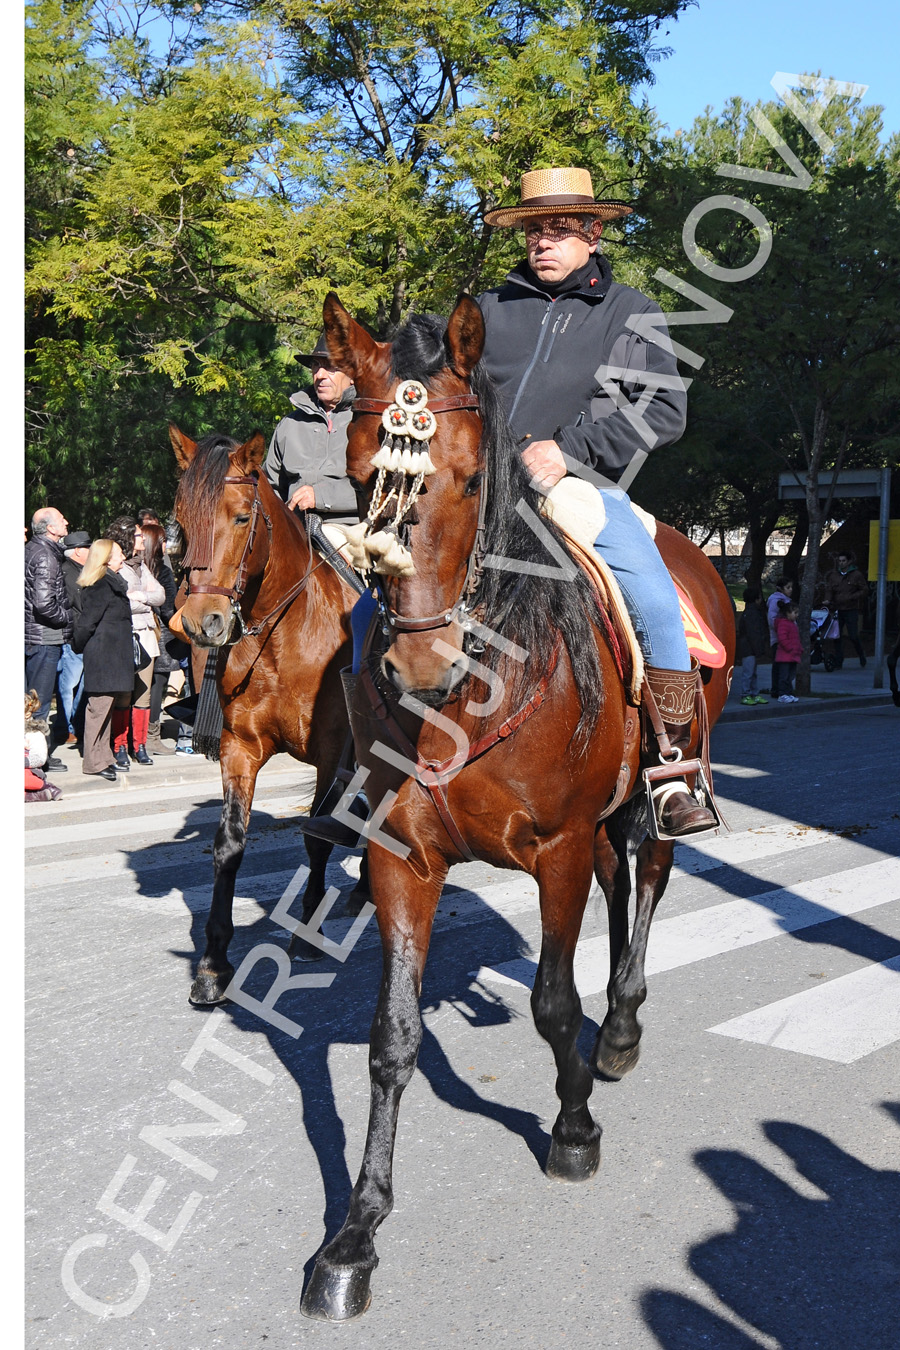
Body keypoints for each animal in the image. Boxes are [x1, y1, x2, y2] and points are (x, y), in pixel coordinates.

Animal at [168, 426, 367, 1009]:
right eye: (181, 517)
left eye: (240, 517)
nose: (202, 623)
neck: (281, 636)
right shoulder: (239, 748)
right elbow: (229, 843)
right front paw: (213, 964)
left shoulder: (333, 750)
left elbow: (317, 836)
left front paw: (308, 934)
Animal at [299, 295, 734, 1317]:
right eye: (359, 478)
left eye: (469, 478)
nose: (417, 663)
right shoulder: (401, 859)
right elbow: (392, 1039)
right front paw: (355, 1235)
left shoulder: (558, 848)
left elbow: (551, 1004)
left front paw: (573, 1128)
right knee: (624, 884)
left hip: (654, 790)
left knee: (650, 875)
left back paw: (623, 1026)